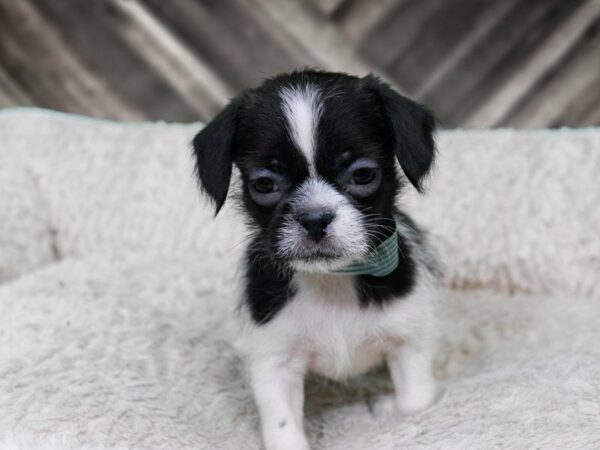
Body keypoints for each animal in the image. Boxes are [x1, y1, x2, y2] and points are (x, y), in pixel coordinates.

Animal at [192, 70, 440, 450]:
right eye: (264, 184)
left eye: (363, 174)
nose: (314, 218)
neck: (332, 280)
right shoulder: (274, 362)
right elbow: (283, 430)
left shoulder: (409, 337)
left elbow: (417, 401)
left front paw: (387, 408)